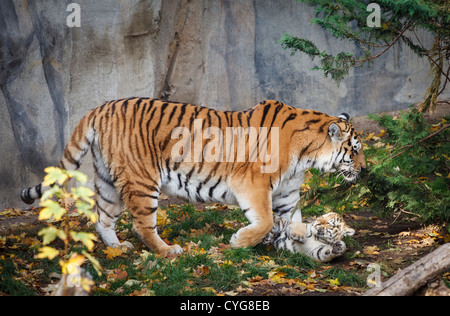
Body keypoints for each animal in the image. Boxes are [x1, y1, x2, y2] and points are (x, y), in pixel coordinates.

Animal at [22, 97, 366, 256]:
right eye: (356, 149)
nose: (365, 169)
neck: (306, 155)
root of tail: (100, 108)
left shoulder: (287, 193)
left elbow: (294, 221)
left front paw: (298, 240)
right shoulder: (253, 184)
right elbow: (265, 220)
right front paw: (240, 241)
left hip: (109, 181)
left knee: (103, 217)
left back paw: (118, 247)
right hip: (142, 180)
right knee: (141, 224)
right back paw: (167, 251)